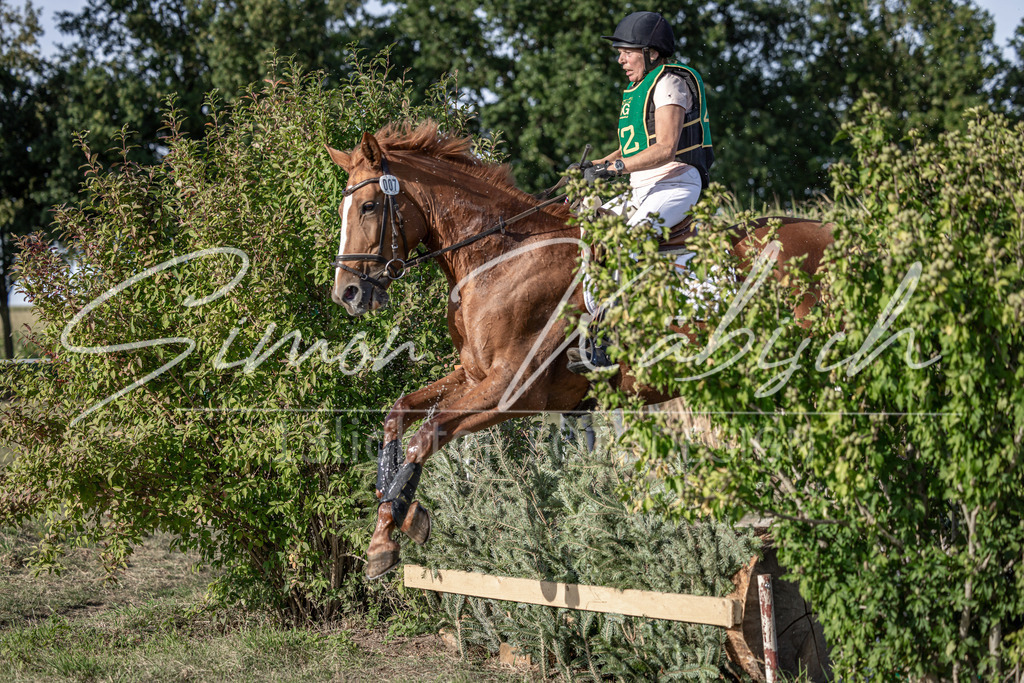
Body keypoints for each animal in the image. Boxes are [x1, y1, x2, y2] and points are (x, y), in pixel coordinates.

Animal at [325, 121, 833, 579]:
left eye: (369, 206)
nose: (346, 293)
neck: (501, 257)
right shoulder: (474, 377)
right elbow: (398, 416)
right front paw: (390, 523)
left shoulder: (514, 392)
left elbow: (425, 435)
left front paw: (393, 530)